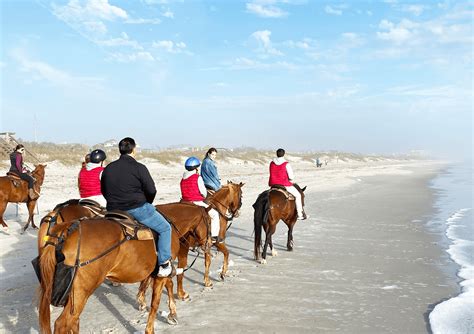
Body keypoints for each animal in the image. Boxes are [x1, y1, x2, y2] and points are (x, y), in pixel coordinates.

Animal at [39, 202, 211, 332]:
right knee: (64, 323)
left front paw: (170, 313)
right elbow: (156, 302)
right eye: (209, 221)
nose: (209, 243)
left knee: (73, 321)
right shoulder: (162, 269)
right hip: (82, 290)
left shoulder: (159, 270)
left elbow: (166, 285)